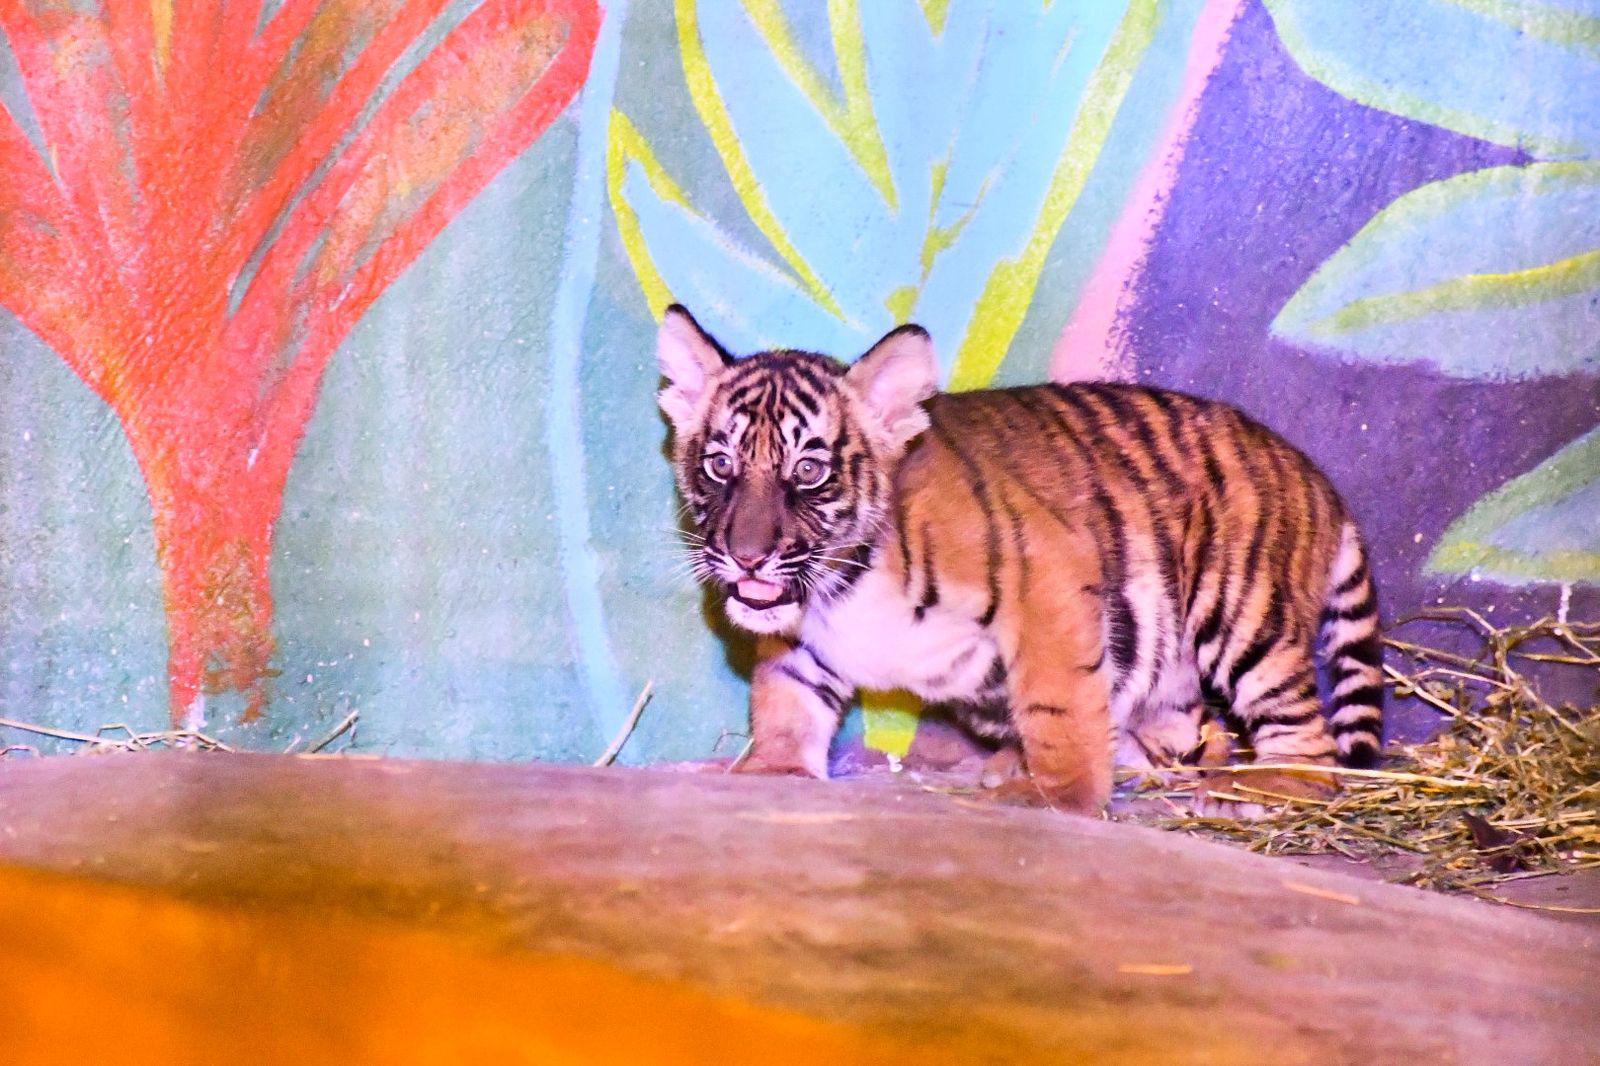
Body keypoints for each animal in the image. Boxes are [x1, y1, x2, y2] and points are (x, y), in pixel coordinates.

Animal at [657, 304, 1384, 814]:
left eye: (808, 471)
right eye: (720, 465)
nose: (747, 558)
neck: (842, 588)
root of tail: (1315, 474)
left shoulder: (1052, 578)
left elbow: (1060, 704)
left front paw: (1057, 797)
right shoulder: (806, 637)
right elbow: (785, 696)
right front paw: (773, 771)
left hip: (1241, 614)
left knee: (1310, 740)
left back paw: (1268, 789)